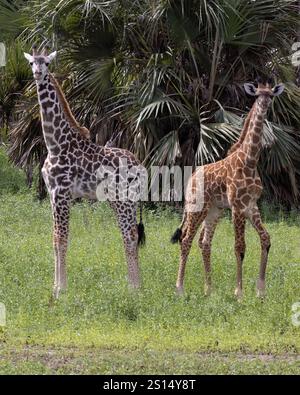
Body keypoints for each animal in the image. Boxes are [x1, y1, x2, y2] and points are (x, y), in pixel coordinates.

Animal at [23, 46, 145, 298]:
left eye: (47, 63)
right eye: (32, 63)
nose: (38, 73)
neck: (55, 143)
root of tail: (140, 166)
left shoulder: (62, 193)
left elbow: (62, 238)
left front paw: (61, 290)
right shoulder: (52, 194)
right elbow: (54, 239)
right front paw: (55, 287)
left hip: (124, 200)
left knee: (130, 235)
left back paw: (135, 289)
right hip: (122, 201)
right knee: (130, 235)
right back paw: (133, 285)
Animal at [171, 79, 284, 298]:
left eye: (271, 95)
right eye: (257, 95)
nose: (264, 106)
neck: (250, 161)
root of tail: (190, 180)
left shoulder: (251, 206)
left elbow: (266, 239)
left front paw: (261, 291)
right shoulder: (238, 207)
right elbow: (239, 246)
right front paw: (239, 292)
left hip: (214, 210)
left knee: (204, 242)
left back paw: (209, 289)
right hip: (197, 208)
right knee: (186, 239)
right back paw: (180, 288)